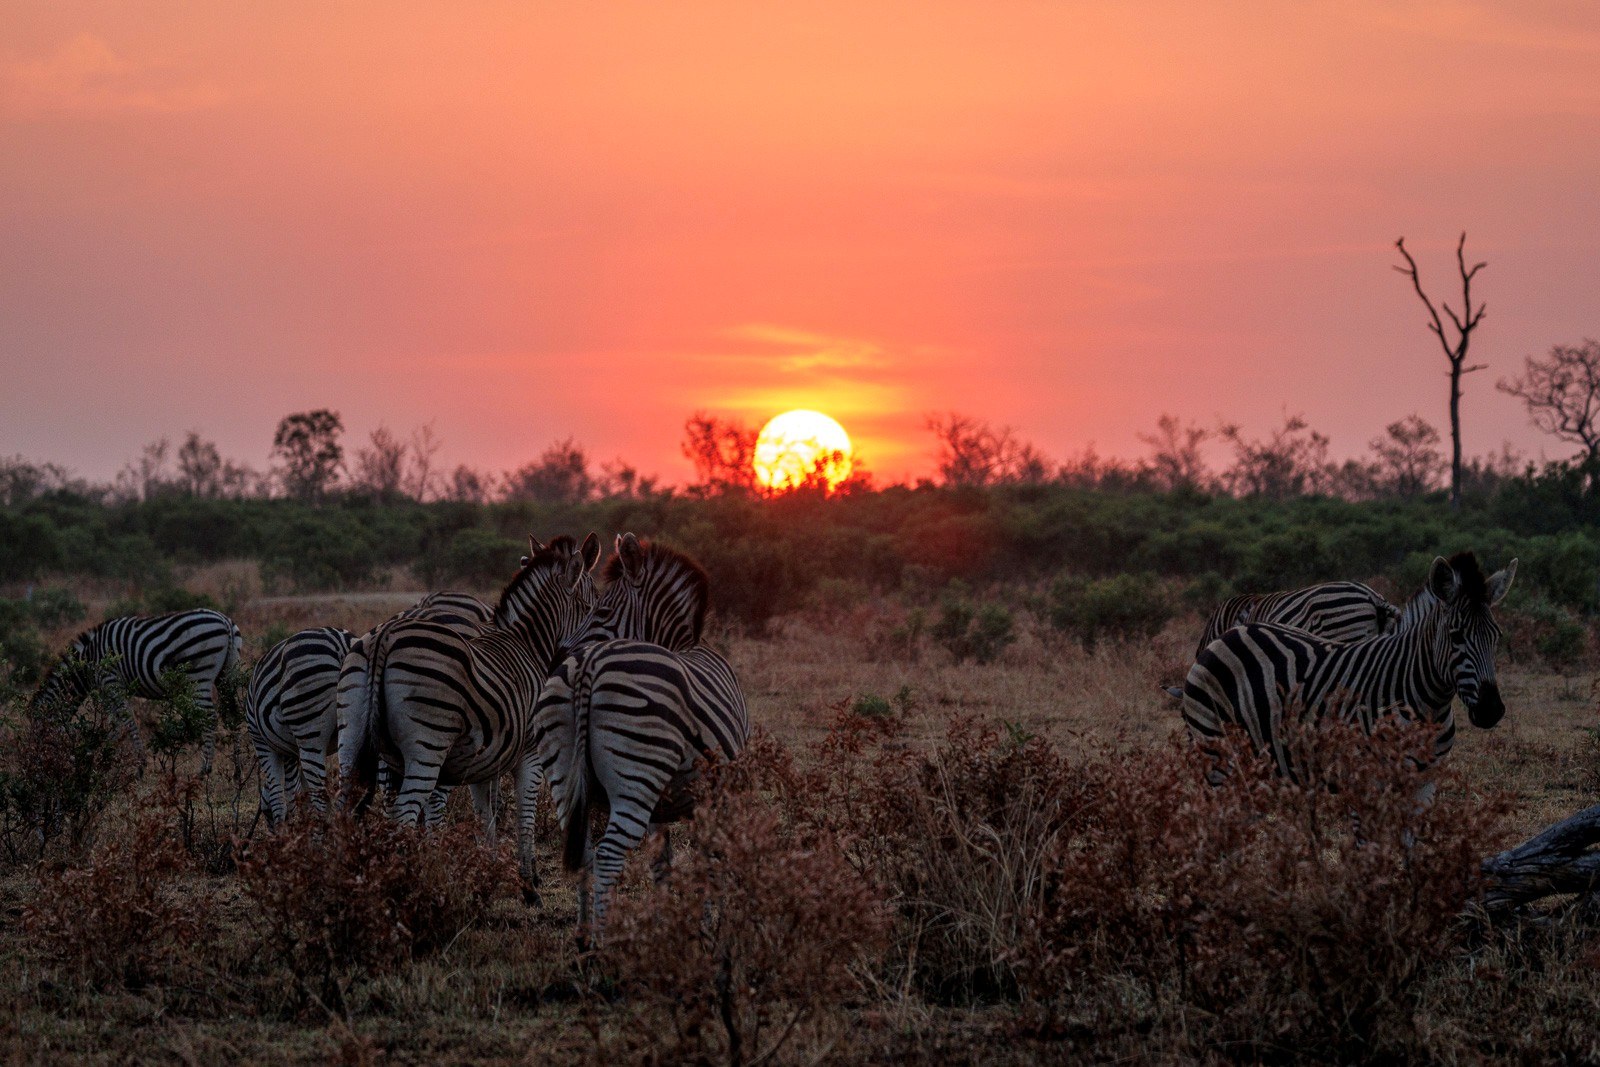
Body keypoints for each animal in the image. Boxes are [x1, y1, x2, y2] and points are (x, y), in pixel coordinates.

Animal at [33, 609, 243, 774]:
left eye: (41, 738)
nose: (37, 765)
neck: (89, 661)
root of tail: (224, 620)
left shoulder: (110, 681)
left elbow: (126, 721)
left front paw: (138, 766)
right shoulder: (109, 689)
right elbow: (115, 723)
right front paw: (103, 757)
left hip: (199, 676)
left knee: (210, 717)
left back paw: (204, 769)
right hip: (227, 674)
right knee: (233, 715)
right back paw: (237, 771)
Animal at [338, 533, 601, 888]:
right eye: (591, 606)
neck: (527, 644)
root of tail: (384, 638)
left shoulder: (485, 763)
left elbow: (486, 816)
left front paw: (488, 873)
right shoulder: (530, 753)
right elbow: (525, 815)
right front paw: (529, 880)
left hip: (350, 737)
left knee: (340, 810)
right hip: (427, 746)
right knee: (403, 815)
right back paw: (406, 882)